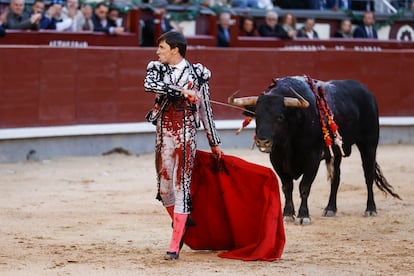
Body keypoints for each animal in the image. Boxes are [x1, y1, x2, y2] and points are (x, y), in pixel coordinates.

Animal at [230, 75, 402, 224]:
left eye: (280, 117)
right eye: (257, 116)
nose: (262, 141)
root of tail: (368, 93)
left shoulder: (312, 159)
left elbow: (304, 187)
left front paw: (303, 216)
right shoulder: (276, 158)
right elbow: (287, 187)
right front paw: (287, 214)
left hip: (369, 144)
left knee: (368, 176)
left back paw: (370, 209)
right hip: (337, 152)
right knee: (336, 178)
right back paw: (330, 209)